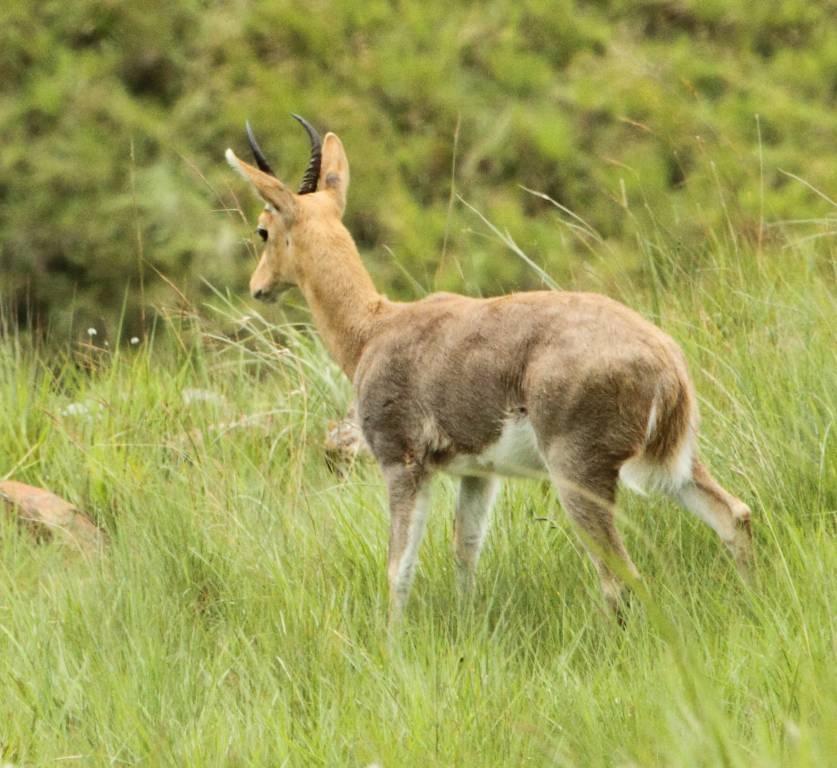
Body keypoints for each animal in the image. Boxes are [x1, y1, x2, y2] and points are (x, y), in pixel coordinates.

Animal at [225, 118, 756, 624]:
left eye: (262, 228)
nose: (257, 287)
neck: (373, 328)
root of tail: (667, 363)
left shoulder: (402, 463)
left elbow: (399, 568)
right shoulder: (477, 473)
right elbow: (465, 550)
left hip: (579, 474)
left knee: (620, 577)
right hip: (672, 466)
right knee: (734, 515)